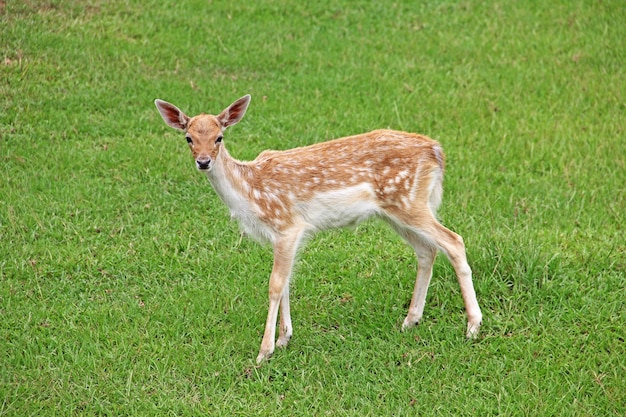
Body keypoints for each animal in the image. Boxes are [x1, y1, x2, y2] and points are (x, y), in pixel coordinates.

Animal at [154, 93, 480, 360]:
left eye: (219, 137)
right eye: (188, 138)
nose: (203, 161)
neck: (251, 193)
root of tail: (436, 151)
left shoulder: (288, 225)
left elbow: (275, 284)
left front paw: (264, 351)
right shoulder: (282, 236)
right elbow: (286, 281)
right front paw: (284, 339)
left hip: (408, 202)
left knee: (454, 241)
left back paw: (473, 326)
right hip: (396, 210)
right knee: (427, 250)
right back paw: (410, 320)